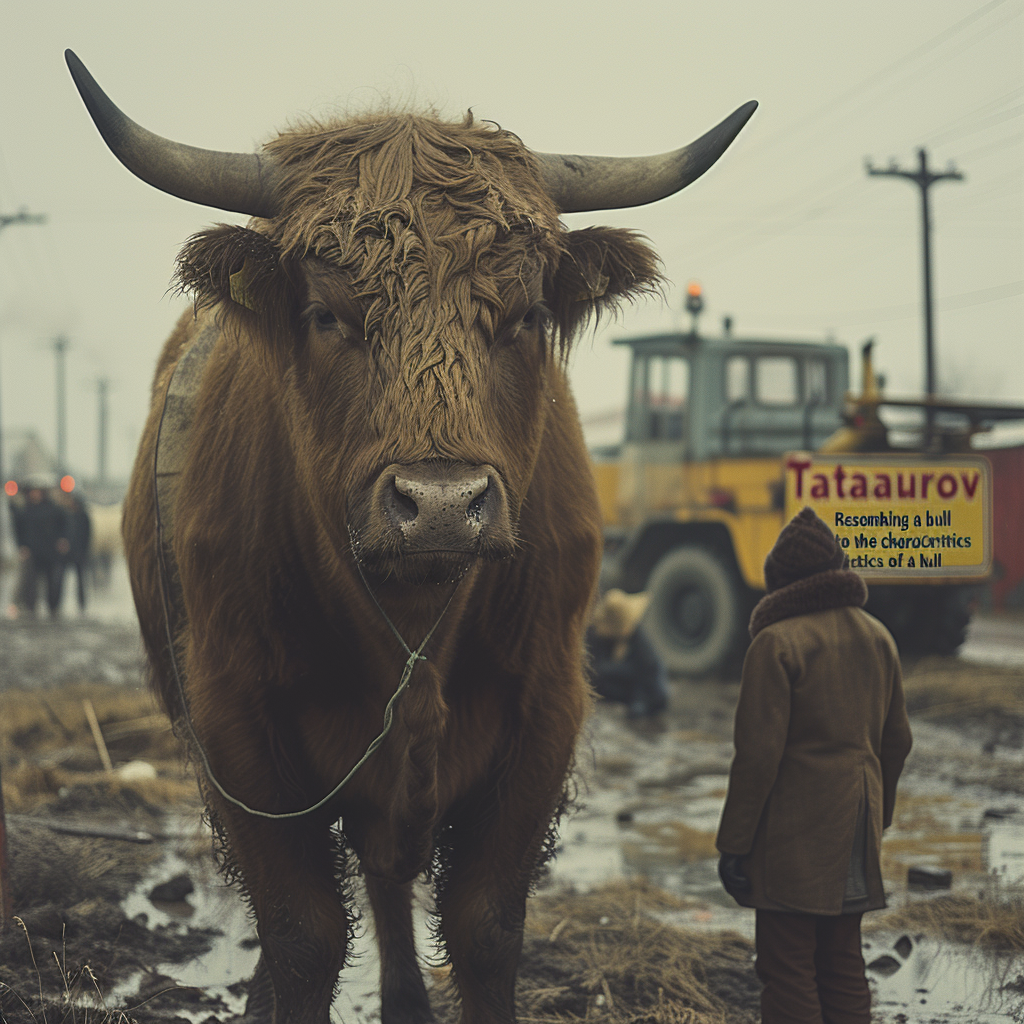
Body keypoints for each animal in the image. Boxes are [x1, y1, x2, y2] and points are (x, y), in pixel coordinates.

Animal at [64, 49, 753, 1024]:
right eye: (327, 314)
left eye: (526, 316)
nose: (439, 502)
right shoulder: (236, 725)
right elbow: (303, 933)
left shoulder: (545, 711)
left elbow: (486, 925)